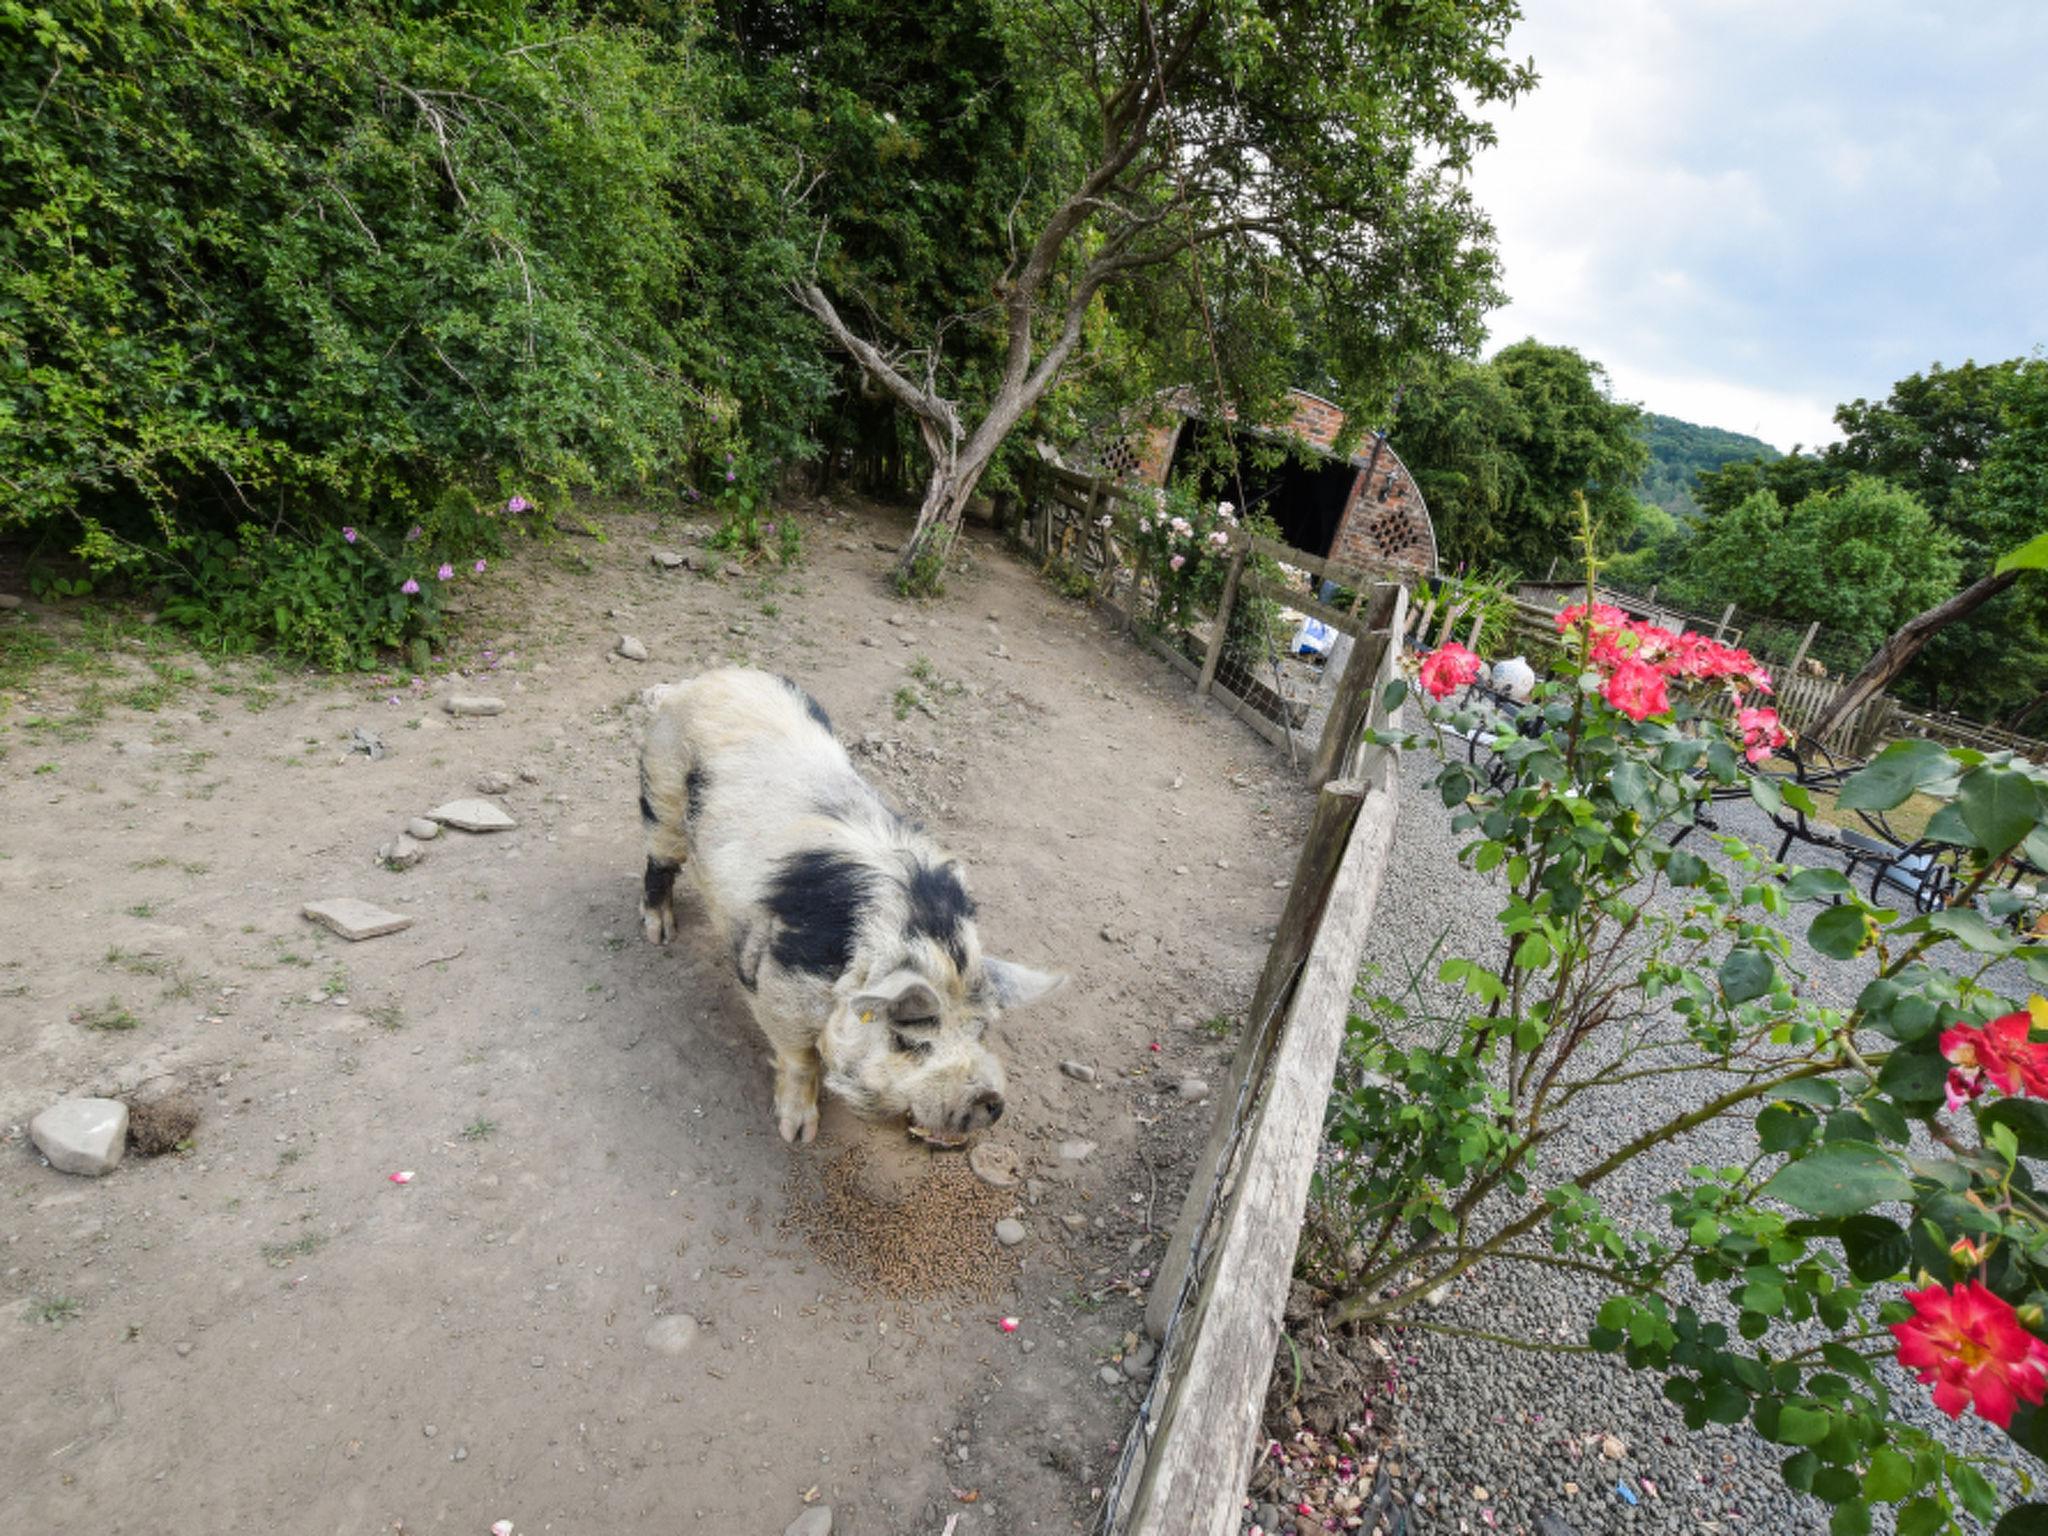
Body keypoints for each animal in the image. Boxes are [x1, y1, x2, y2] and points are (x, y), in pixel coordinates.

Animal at [638, 667, 1064, 1146]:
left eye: (981, 1029)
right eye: (909, 1041)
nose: (989, 1101)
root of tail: (694, 683)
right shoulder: (781, 983)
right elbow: (801, 1056)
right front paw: (797, 1134)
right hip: (664, 786)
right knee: (659, 861)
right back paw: (659, 934)